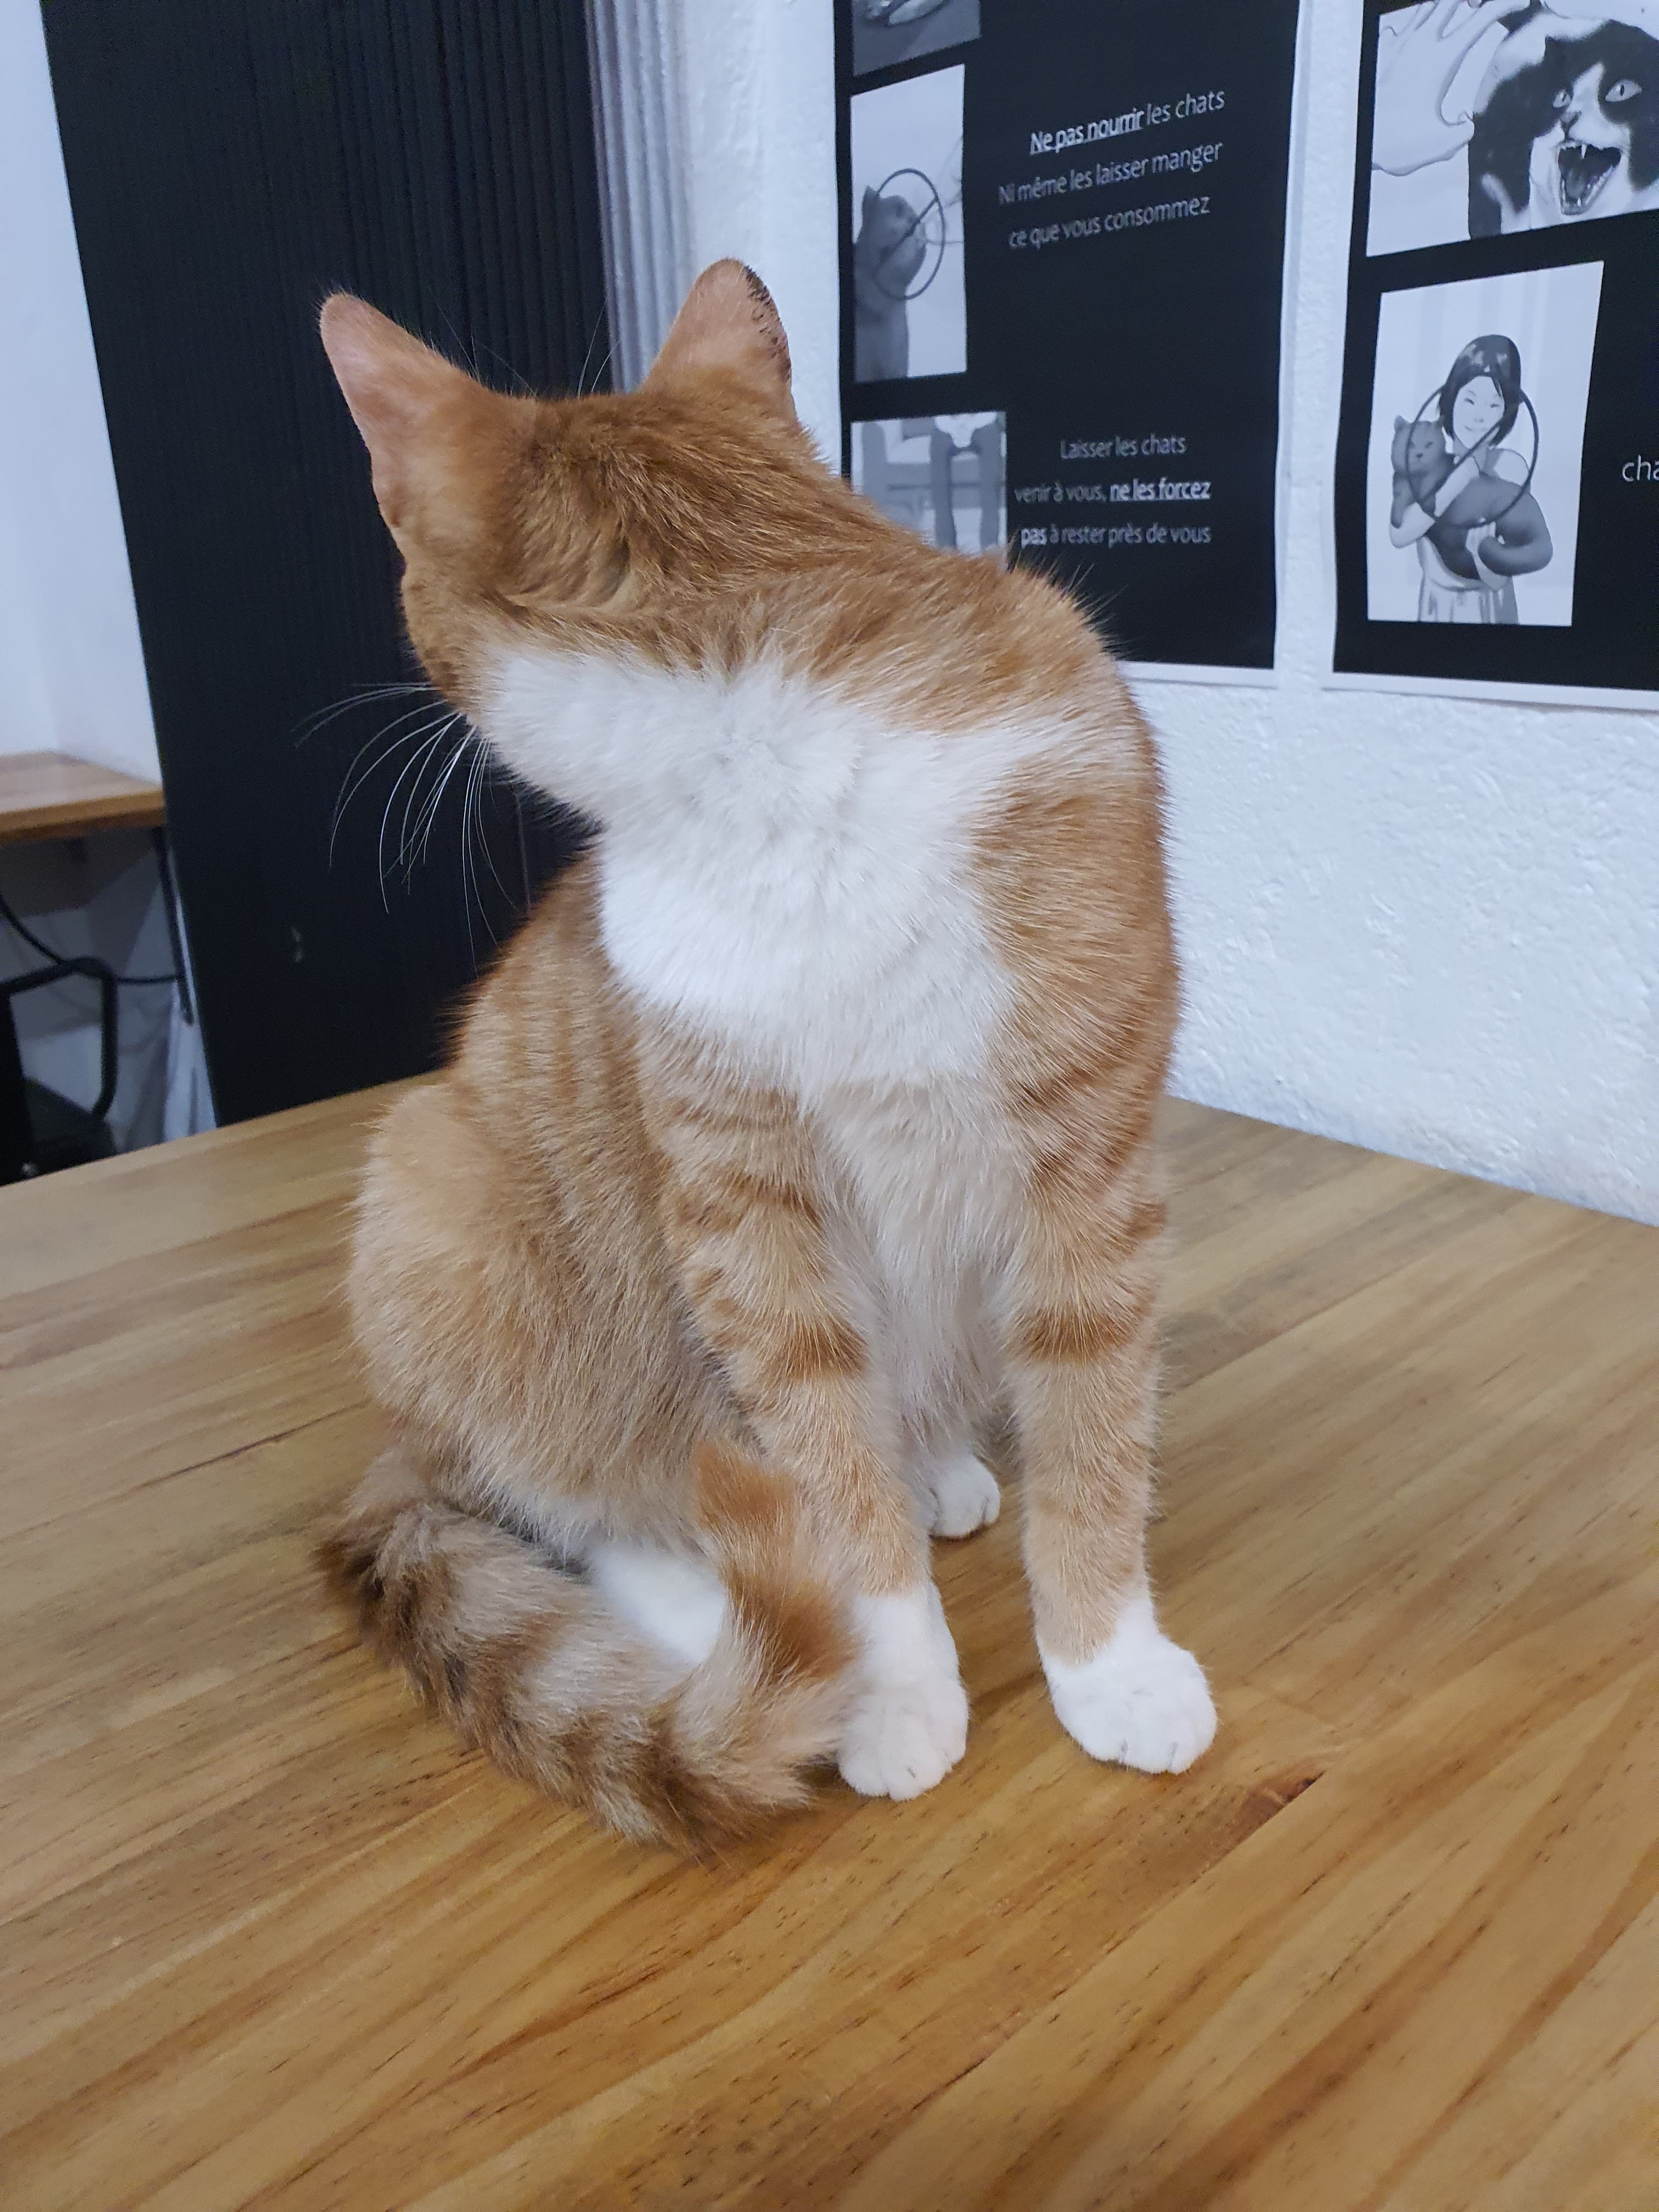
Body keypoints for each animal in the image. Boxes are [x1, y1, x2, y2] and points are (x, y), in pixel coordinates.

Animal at [317, 261, 1216, 1851]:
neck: (794, 770)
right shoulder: (752, 1226)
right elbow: (828, 1487)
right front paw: (894, 1689)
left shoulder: (1086, 1168)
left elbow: (1096, 1433)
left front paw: (1107, 1661)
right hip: (438, 1193)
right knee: (579, 1501)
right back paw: (699, 1606)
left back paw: (938, 1466)